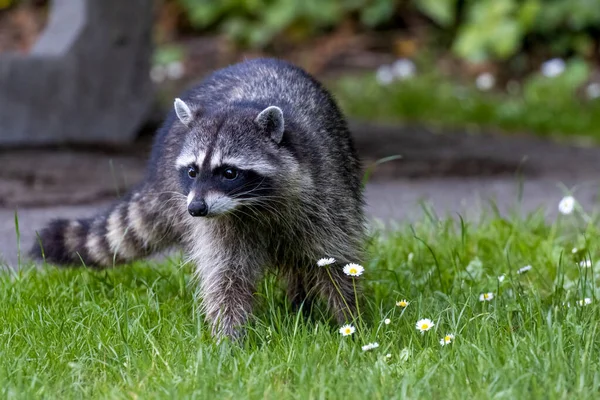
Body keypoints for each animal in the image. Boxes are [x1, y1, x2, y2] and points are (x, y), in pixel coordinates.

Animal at [32, 57, 366, 340]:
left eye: (229, 172)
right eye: (192, 171)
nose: (195, 208)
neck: (252, 205)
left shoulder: (325, 197)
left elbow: (335, 262)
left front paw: (351, 320)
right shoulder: (220, 225)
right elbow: (226, 276)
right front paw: (230, 337)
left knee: (300, 263)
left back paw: (301, 307)